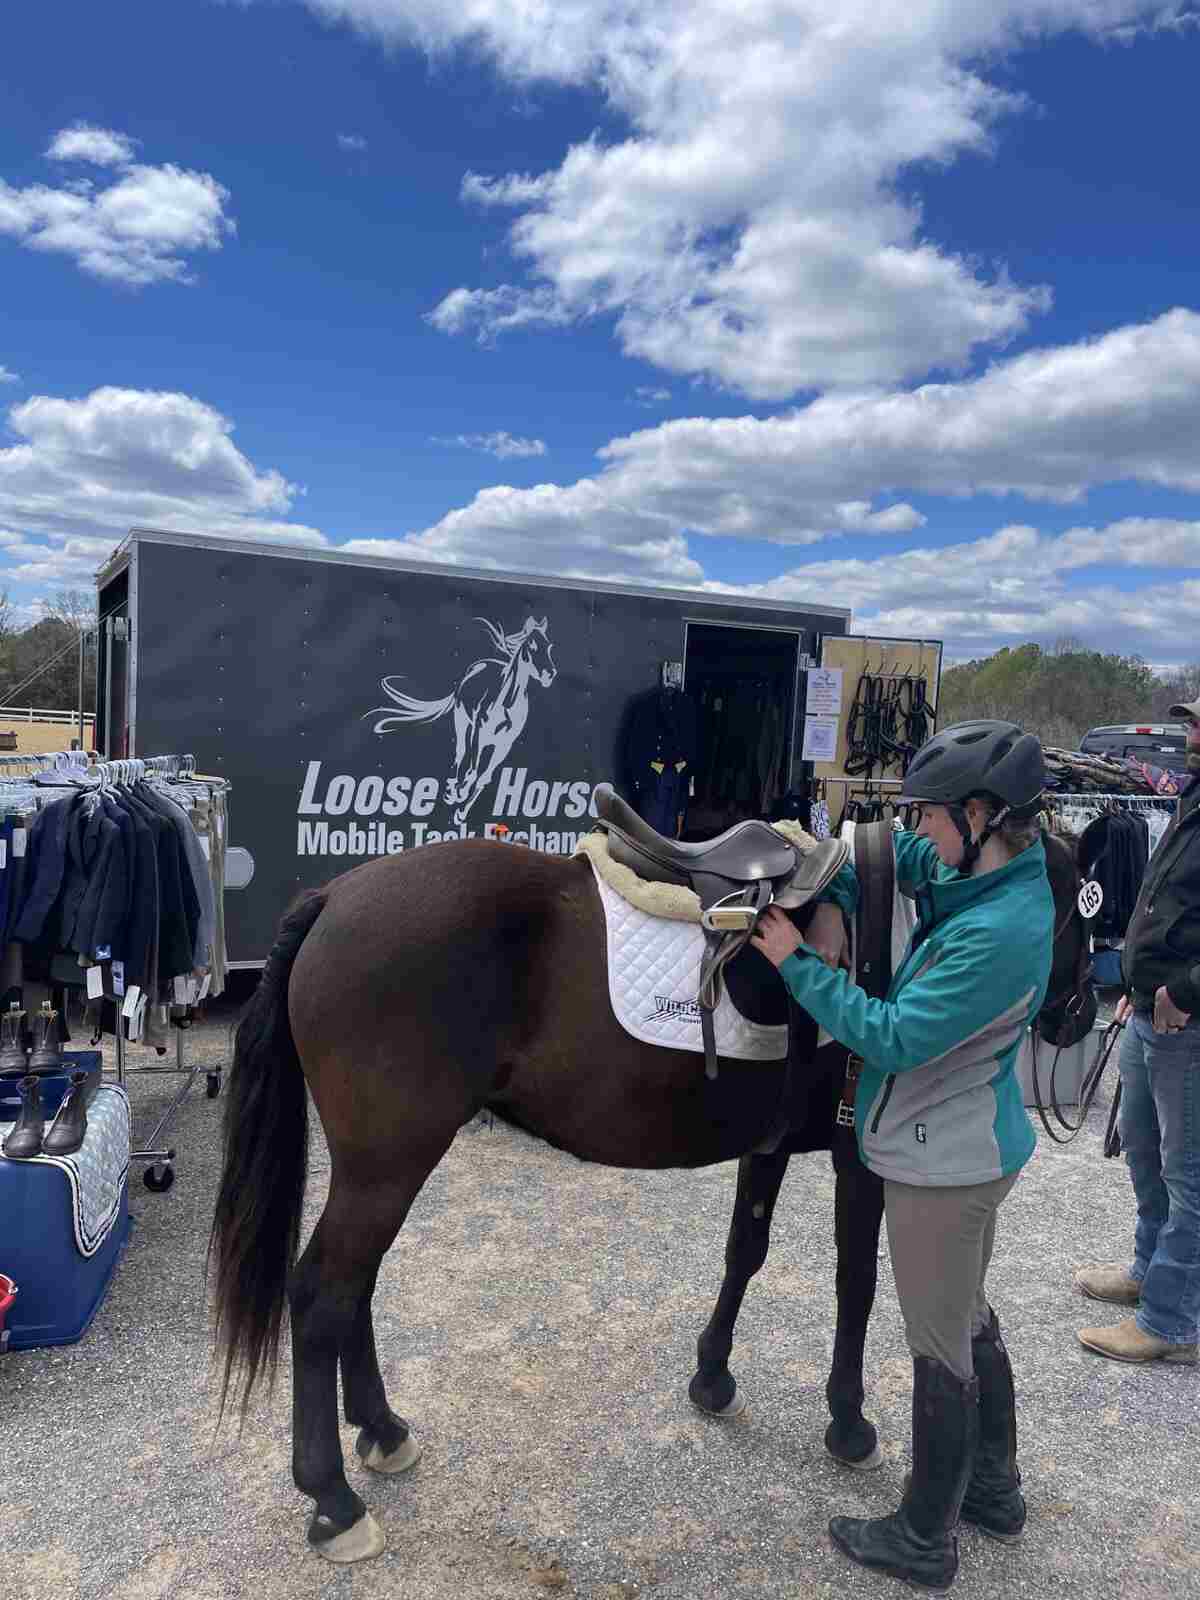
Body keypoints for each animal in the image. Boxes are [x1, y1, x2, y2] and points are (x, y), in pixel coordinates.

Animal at [209, 821, 1086, 1563]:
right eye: (1077, 906)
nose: (1077, 1018)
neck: (890, 923)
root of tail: (335, 897)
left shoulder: (768, 1148)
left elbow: (746, 1251)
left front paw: (713, 1378)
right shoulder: (857, 1158)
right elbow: (857, 1285)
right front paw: (848, 1421)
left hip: (380, 1167)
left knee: (353, 1288)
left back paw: (383, 1432)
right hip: (388, 1165)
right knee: (323, 1294)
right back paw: (333, 1500)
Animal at [365, 615, 556, 824]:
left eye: (549, 646)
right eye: (532, 646)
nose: (549, 674)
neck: (508, 702)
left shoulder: (505, 744)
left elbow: (484, 777)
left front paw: (462, 812)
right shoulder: (480, 733)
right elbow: (472, 770)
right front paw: (460, 793)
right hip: (462, 721)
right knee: (460, 752)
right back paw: (451, 791)